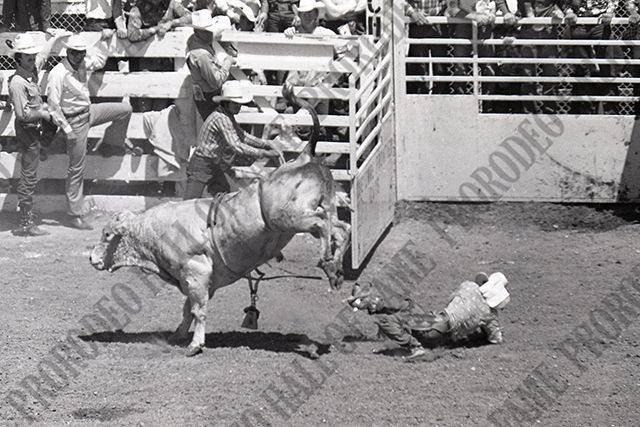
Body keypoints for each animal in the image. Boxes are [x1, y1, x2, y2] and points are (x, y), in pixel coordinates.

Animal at [90, 87, 351, 356]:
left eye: (107, 234)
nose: (91, 257)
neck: (153, 231)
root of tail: (304, 156)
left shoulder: (196, 272)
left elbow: (197, 310)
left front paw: (195, 344)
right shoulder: (201, 279)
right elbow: (187, 309)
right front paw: (178, 334)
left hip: (289, 217)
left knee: (322, 224)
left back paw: (327, 263)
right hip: (323, 208)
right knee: (341, 228)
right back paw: (336, 270)